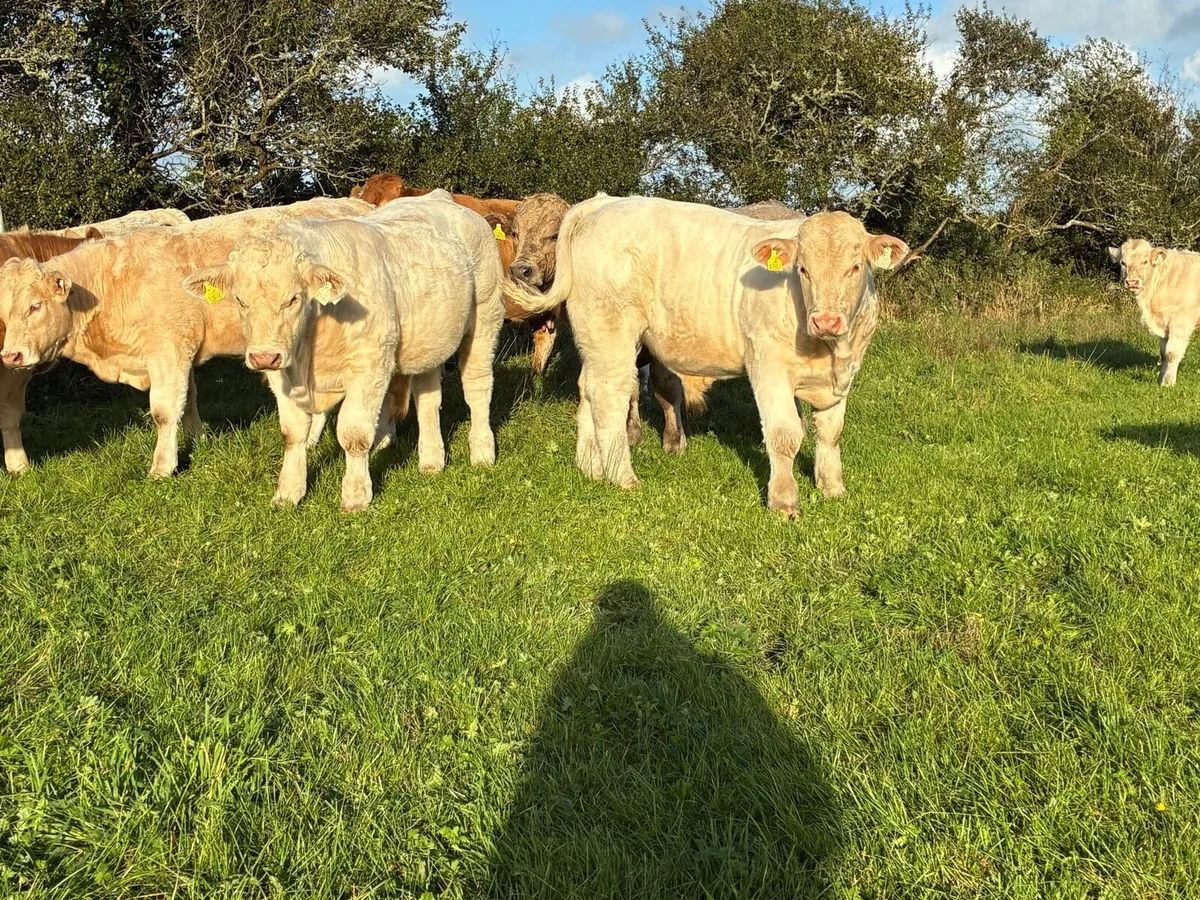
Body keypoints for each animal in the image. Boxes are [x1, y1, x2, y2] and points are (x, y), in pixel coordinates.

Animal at [182, 191, 505, 511]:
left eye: (293, 298)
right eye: (239, 300)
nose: (263, 356)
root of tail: (440, 197)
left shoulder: (370, 366)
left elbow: (354, 434)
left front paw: (356, 496)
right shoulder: (281, 375)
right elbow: (293, 432)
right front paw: (288, 493)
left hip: (485, 318)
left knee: (477, 388)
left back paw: (482, 452)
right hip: (428, 340)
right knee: (427, 399)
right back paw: (431, 461)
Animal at [506, 196, 908, 517]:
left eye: (855, 267)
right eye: (803, 269)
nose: (826, 320)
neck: (830, 350)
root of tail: (602, 202)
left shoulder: (844, 375)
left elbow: (831, 433)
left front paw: (832, 488)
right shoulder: (769, 368)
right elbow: (784, 435)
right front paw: (783, 501)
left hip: (595, 340)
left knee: (588, 390)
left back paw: (590, 467)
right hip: (612, 332)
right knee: (611, 396)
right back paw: (622, 477)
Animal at [1108, 239, 1200, 387]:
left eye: (1145, 261)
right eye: (1123, 262)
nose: (1132, 282)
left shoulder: (1181, 322)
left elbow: (1172, 353)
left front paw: (1168, 382)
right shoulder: (1164, 325)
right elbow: (1163, 354)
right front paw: (1160, 379)